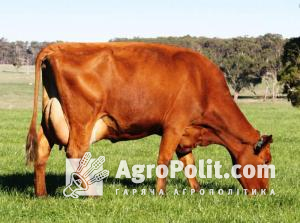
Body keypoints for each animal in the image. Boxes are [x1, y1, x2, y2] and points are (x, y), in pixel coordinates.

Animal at [27, 42, 274, 197]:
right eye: (265, 161)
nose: (263, 193)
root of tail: (60, 47)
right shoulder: (174, 126)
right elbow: (164, 160)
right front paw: (160, 194)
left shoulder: (185, 134)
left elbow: (189, 164)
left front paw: (197, 191)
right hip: (82, 122)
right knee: (75, 153)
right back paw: (92, 195)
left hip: (51, 119)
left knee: (42, 150)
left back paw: (42, 194)